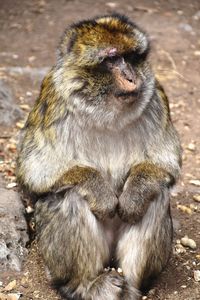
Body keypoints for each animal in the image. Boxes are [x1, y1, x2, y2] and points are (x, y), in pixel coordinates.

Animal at [17, 14, 182, 300]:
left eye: (131, 57)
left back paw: (131, 287)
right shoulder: (53, 100)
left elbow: (165, 163)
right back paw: (86, 286)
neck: (106, 113)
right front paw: (98, 190)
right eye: (112, 59)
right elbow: (34, 169)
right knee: (69, 196)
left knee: (157, 195)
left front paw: (133, 196)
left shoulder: (157, 99)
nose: (131, 76)